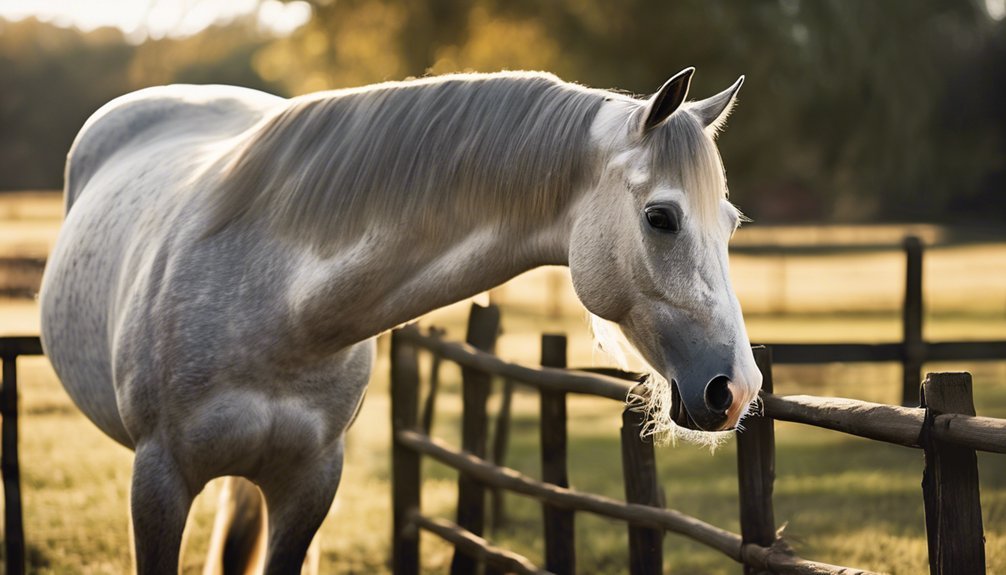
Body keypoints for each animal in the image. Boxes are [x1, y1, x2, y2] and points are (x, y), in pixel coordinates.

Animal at [39, 68, 760, 575]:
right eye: (661, 217)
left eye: (729, 222)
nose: (738, 389)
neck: (276, 299)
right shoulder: (157, 481)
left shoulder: (309, 483)